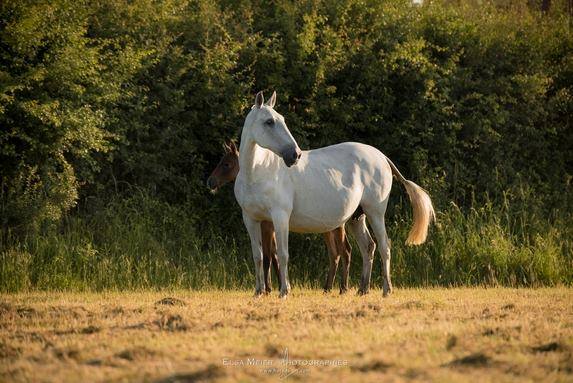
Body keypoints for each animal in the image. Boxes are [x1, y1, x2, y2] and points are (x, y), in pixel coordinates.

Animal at [206, 141, 348, 294]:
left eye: (226, 164)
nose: (210, 182)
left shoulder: (268, 227)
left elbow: (268, 256)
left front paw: (270, 288)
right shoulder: (270, 228)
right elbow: (273, 256)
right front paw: (278, 285)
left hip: (336, 228)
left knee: (344, 252)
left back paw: (342, 288)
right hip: (327, 229)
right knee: (335, 254)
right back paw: (328, 288)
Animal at [233, 91, 434, 298]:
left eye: (282, 119)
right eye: (269, 122)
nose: (295, 155)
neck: (257, 172)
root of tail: (382, 157)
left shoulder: (280, 217)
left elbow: (282, 254)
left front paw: (284, 292)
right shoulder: (251, 219)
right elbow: (257, 255)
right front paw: (258, 292)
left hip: (375, 213)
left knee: (384, 246)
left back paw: (386, 290)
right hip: (356, 217)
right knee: (368, 247)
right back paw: (363, 289)